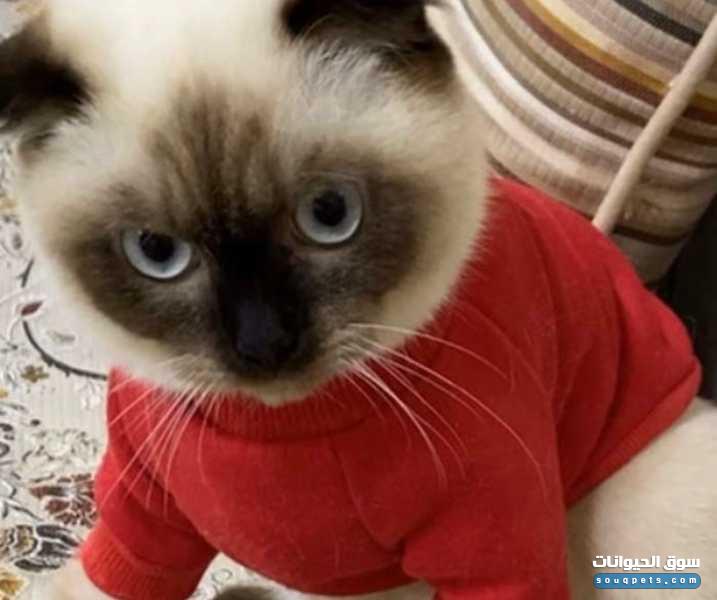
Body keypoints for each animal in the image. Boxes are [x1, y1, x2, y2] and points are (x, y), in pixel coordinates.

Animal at [2, 1, 717, 599]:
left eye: (329, 214)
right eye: (156, 252)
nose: (264, 345)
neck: (282, 431)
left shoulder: (491, 551)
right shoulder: (143, 523)